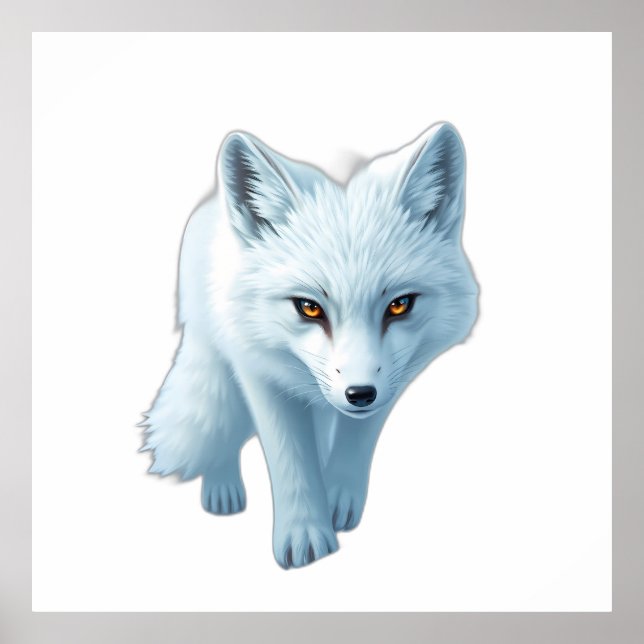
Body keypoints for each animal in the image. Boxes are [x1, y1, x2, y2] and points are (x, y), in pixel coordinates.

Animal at [140, 122, 479, 569]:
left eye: (399, 305)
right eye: (310, 308)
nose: (360, 394)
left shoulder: (386, 381)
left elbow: (352, 443)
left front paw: (337, 499)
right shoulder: (259, 373)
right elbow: (291, 459)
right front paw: (305, 534)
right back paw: (222, 485)